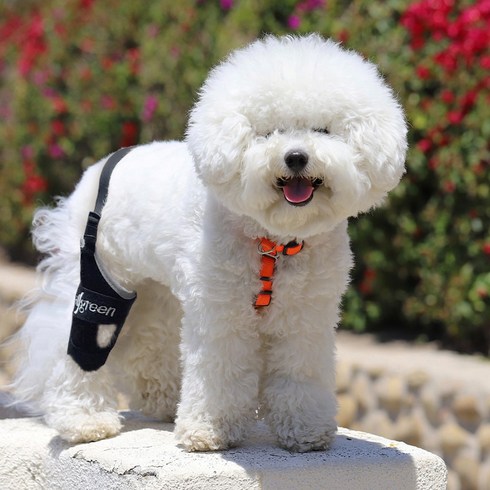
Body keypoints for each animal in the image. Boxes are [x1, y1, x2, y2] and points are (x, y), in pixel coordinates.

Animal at [13, 35, 408, 456]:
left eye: (322, 130)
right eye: (267, 132)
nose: (296, 157)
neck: (274, 242)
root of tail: (100, 167)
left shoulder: (306, 316)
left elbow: (300, 368)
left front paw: (305, 431)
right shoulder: (222, 311)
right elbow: (221, 367)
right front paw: (209, 431)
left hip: (158, 292)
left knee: (150, 341)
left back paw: (165, 401)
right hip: (98, 283)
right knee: (77, 348)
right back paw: (84, 421)